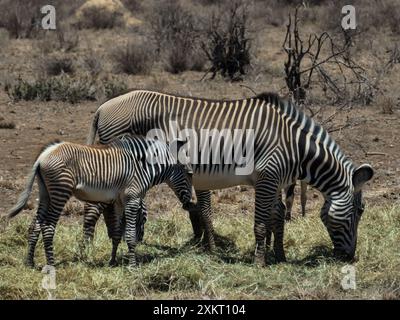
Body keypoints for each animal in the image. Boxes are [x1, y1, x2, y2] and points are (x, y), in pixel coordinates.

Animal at [7, 134, 195, 266]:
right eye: (190, 174)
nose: (190, 204)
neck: (142, 167)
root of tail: (44, 155)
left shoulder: (119, 201)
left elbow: (117, 233)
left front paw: (112, 261)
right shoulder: (132, 198)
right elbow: (129, 234)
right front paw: (133, 265)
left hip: (46, 192)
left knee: (35, 225)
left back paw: (30, 262)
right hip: (61, 190)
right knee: (47, 226)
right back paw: (51, 264)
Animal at [85, 89, 376, 264]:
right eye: (360, 210)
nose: (350, 258)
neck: (295, 147)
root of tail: (102, 107)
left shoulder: (274, 182)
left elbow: (276, 217)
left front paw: (279, 255)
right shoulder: (267, 178)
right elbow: (261, 224)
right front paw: (259, 263)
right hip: (115, 168)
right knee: (94, 207)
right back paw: (89, 251)